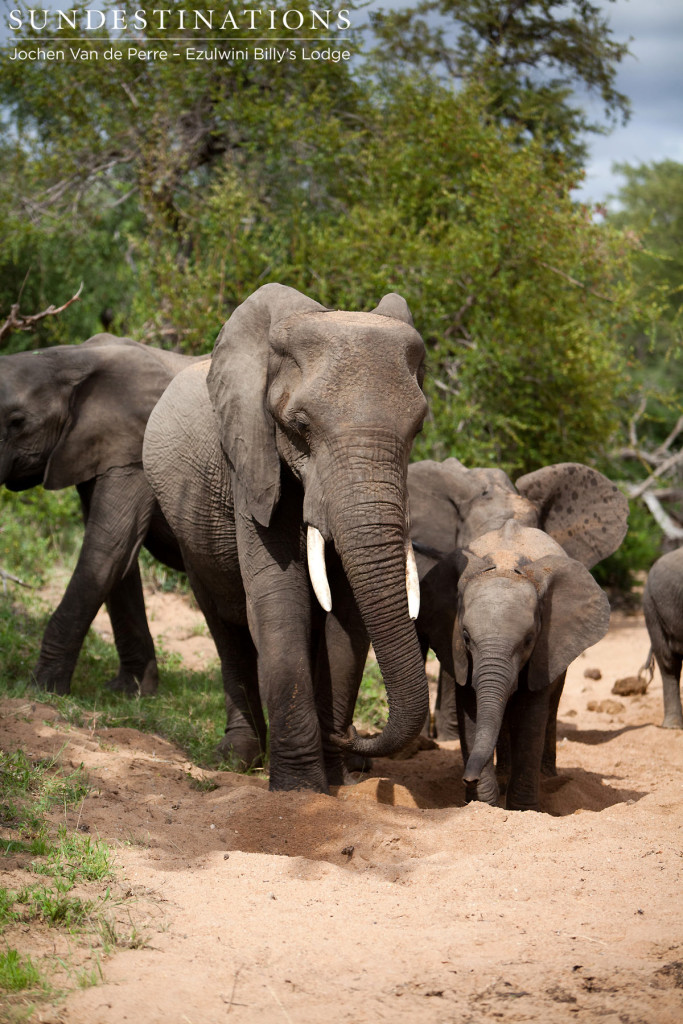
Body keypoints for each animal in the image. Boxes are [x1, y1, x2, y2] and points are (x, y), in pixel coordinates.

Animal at [0, 335, 202, 696]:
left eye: (18, 422)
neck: (71, 359)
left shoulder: (137, 447)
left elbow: (108, 547)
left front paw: (42, 689)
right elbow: (118, 559)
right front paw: (130, 692)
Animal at [144, 284, 430, 794]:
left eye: (417, 428)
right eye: (300, 427)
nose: (352, 740)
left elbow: (348, 615)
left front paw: (339, 774)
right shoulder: (250, 460)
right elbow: (279, 600)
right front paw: (299, 790)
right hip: (190, 531)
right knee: (225, 624)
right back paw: (239, 758)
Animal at [417, 524, 614, 811]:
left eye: (529, 640)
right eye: (465, 637)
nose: (468, 778)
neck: (505, 563)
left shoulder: (545, 650)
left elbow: (531, 715)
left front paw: (523, 808)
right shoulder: (459, 654)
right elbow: (471, 709)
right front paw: (483, 804)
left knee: (551, 707)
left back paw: (547, 776)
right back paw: (502, 776)